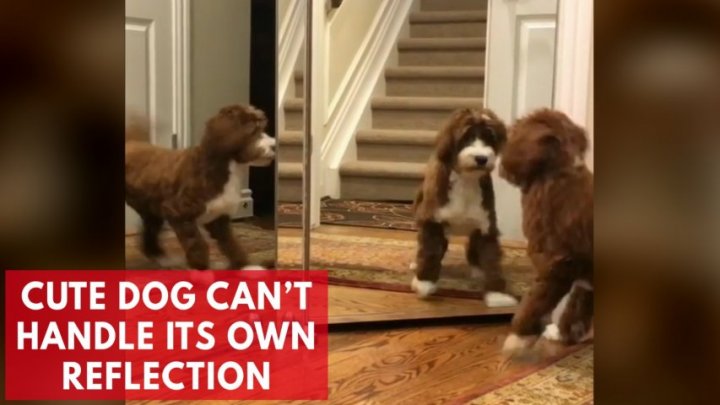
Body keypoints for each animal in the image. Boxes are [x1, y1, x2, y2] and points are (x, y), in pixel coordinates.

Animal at [125, 104, 274, 274]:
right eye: (253, 129)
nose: (274, 145)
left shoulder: (219, 217)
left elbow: (231, 243)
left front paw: (246, 266)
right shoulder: (178, 212)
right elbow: (197, 243)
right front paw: (201, 270)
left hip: (151, 209)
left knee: (149, 232)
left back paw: (162, 258)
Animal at [410, 107, 524, 306]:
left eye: (489, 137)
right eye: (466, 137)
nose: (481, 158)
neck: (466, 180)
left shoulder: (486, 226)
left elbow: (492, 260)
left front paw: (498, 294)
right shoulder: (433, 221)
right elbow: (430, 252)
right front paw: (424, 282)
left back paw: (477, 269)